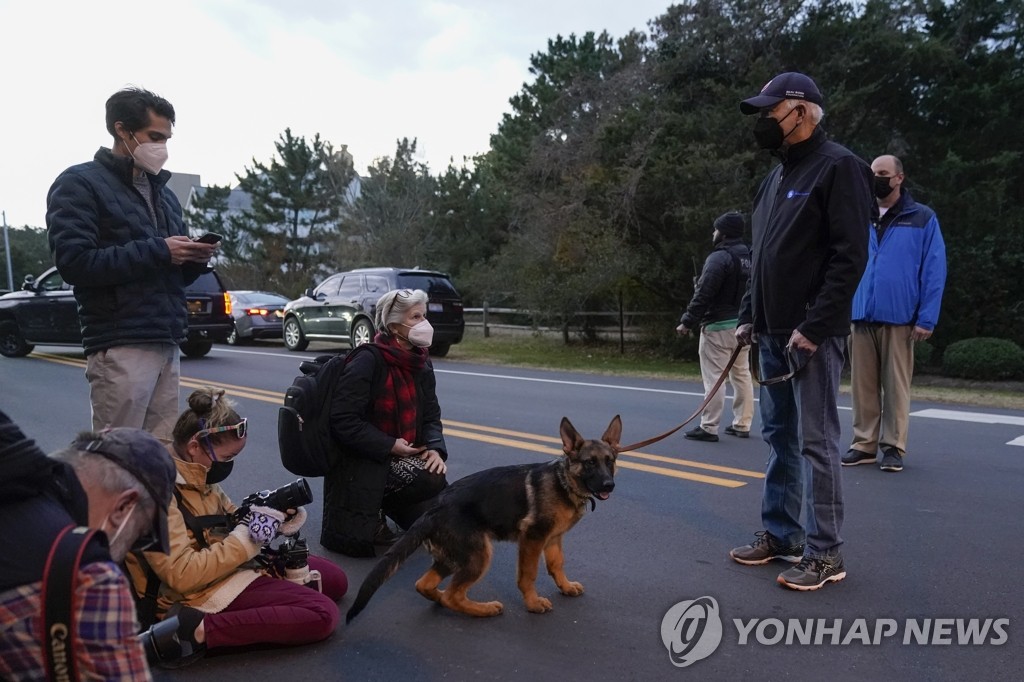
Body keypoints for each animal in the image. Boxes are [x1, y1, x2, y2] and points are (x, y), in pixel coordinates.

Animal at [344, 411, 618, 618]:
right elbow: (528, 575)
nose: (609, 485)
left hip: (453, 557)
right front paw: (532, 603)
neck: (564, 482)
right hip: (479, 554)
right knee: (453, 596)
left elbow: (556, 564)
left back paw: (441, 598)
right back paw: (484, 609)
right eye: (590, 463)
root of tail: (435, 508)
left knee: (425, 585)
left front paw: (566, 586)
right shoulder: (532, 539)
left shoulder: (552, 539)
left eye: (610, 461)